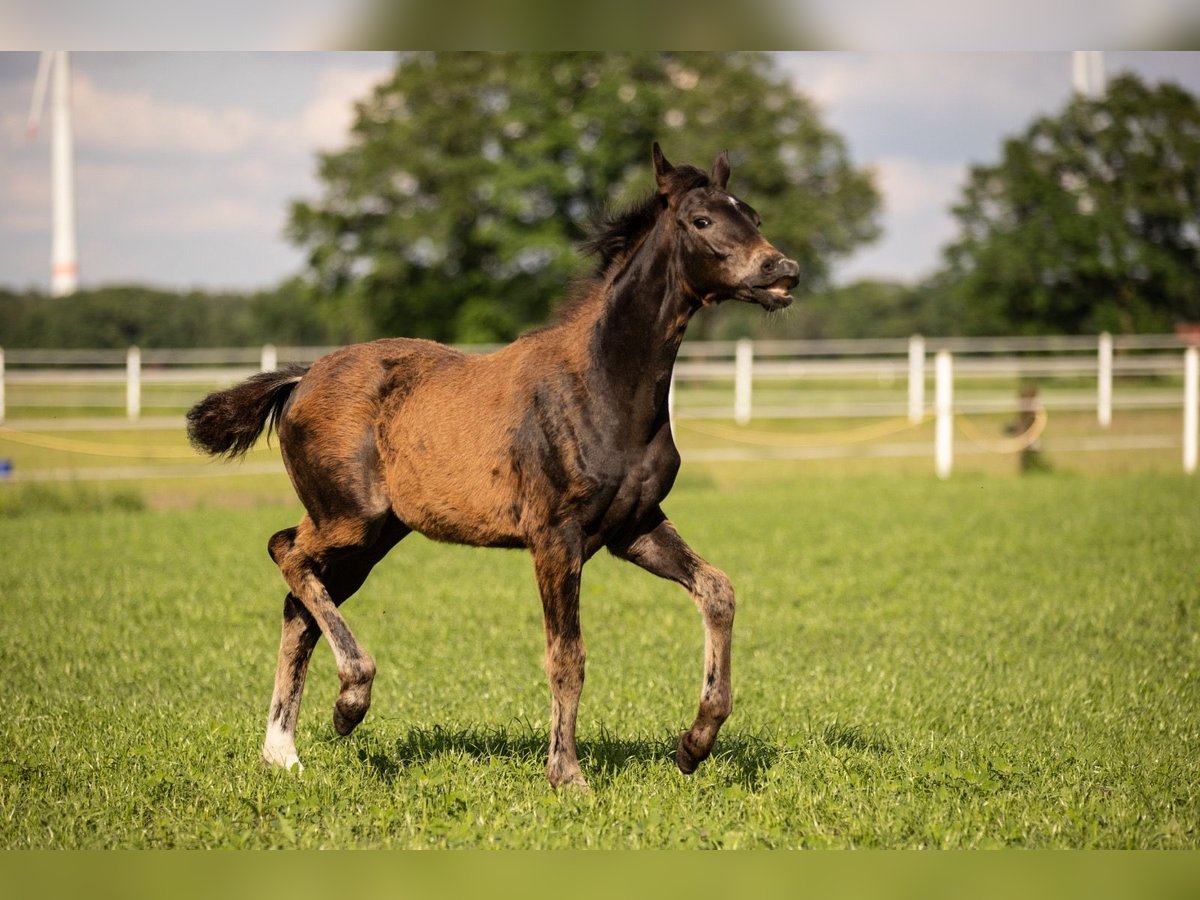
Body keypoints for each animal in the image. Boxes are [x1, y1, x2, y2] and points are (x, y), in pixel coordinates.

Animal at [187, 142, 796, 787]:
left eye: (753, 215)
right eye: (702, 220)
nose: (782, 271)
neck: (603, 386)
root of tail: (302, 378)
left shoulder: (634, 527)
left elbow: (717, 589)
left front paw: (694, 744)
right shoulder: (555, 537)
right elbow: (567, 656)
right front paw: (567, 775)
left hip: (375, 536)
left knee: (299, 604)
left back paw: (283, 751)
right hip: (349, 517)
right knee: (285, 550)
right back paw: (350, 701)